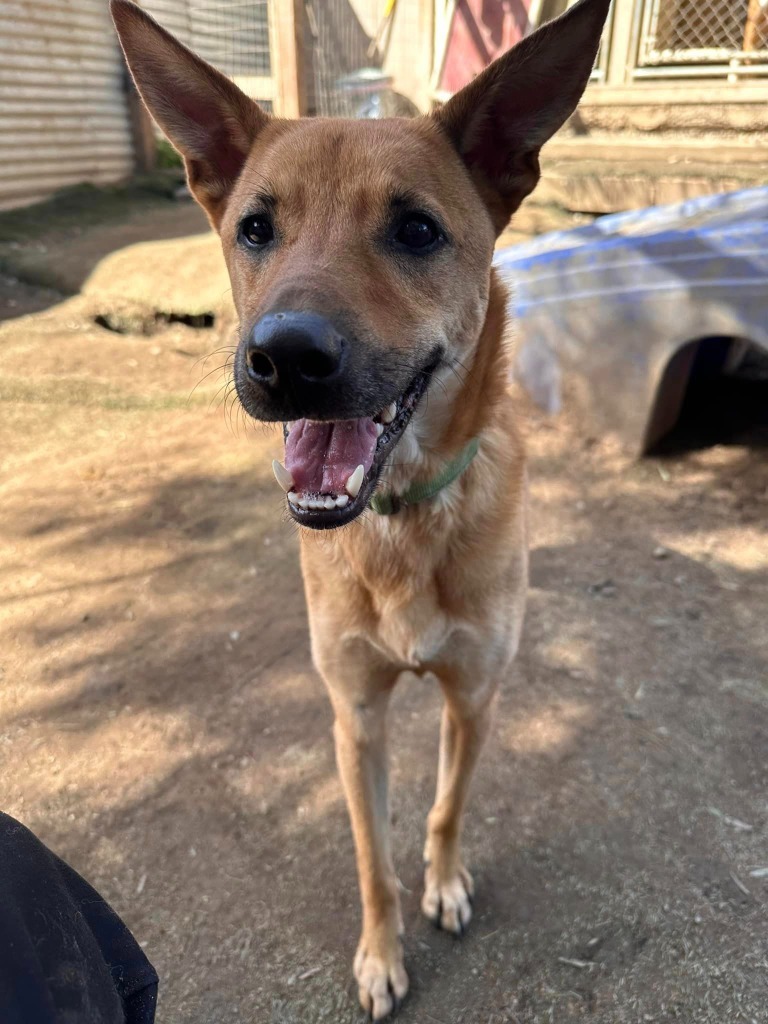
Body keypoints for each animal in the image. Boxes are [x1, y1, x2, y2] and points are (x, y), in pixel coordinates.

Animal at [111, 2, 610, 1015]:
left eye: (416, 230)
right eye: (255, 228)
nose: (284, 358)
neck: (403, 522)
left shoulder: (475, 698)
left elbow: (447, 806)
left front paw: (444, 883)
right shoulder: (356, 718)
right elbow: (371, 856)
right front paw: (382, 953)